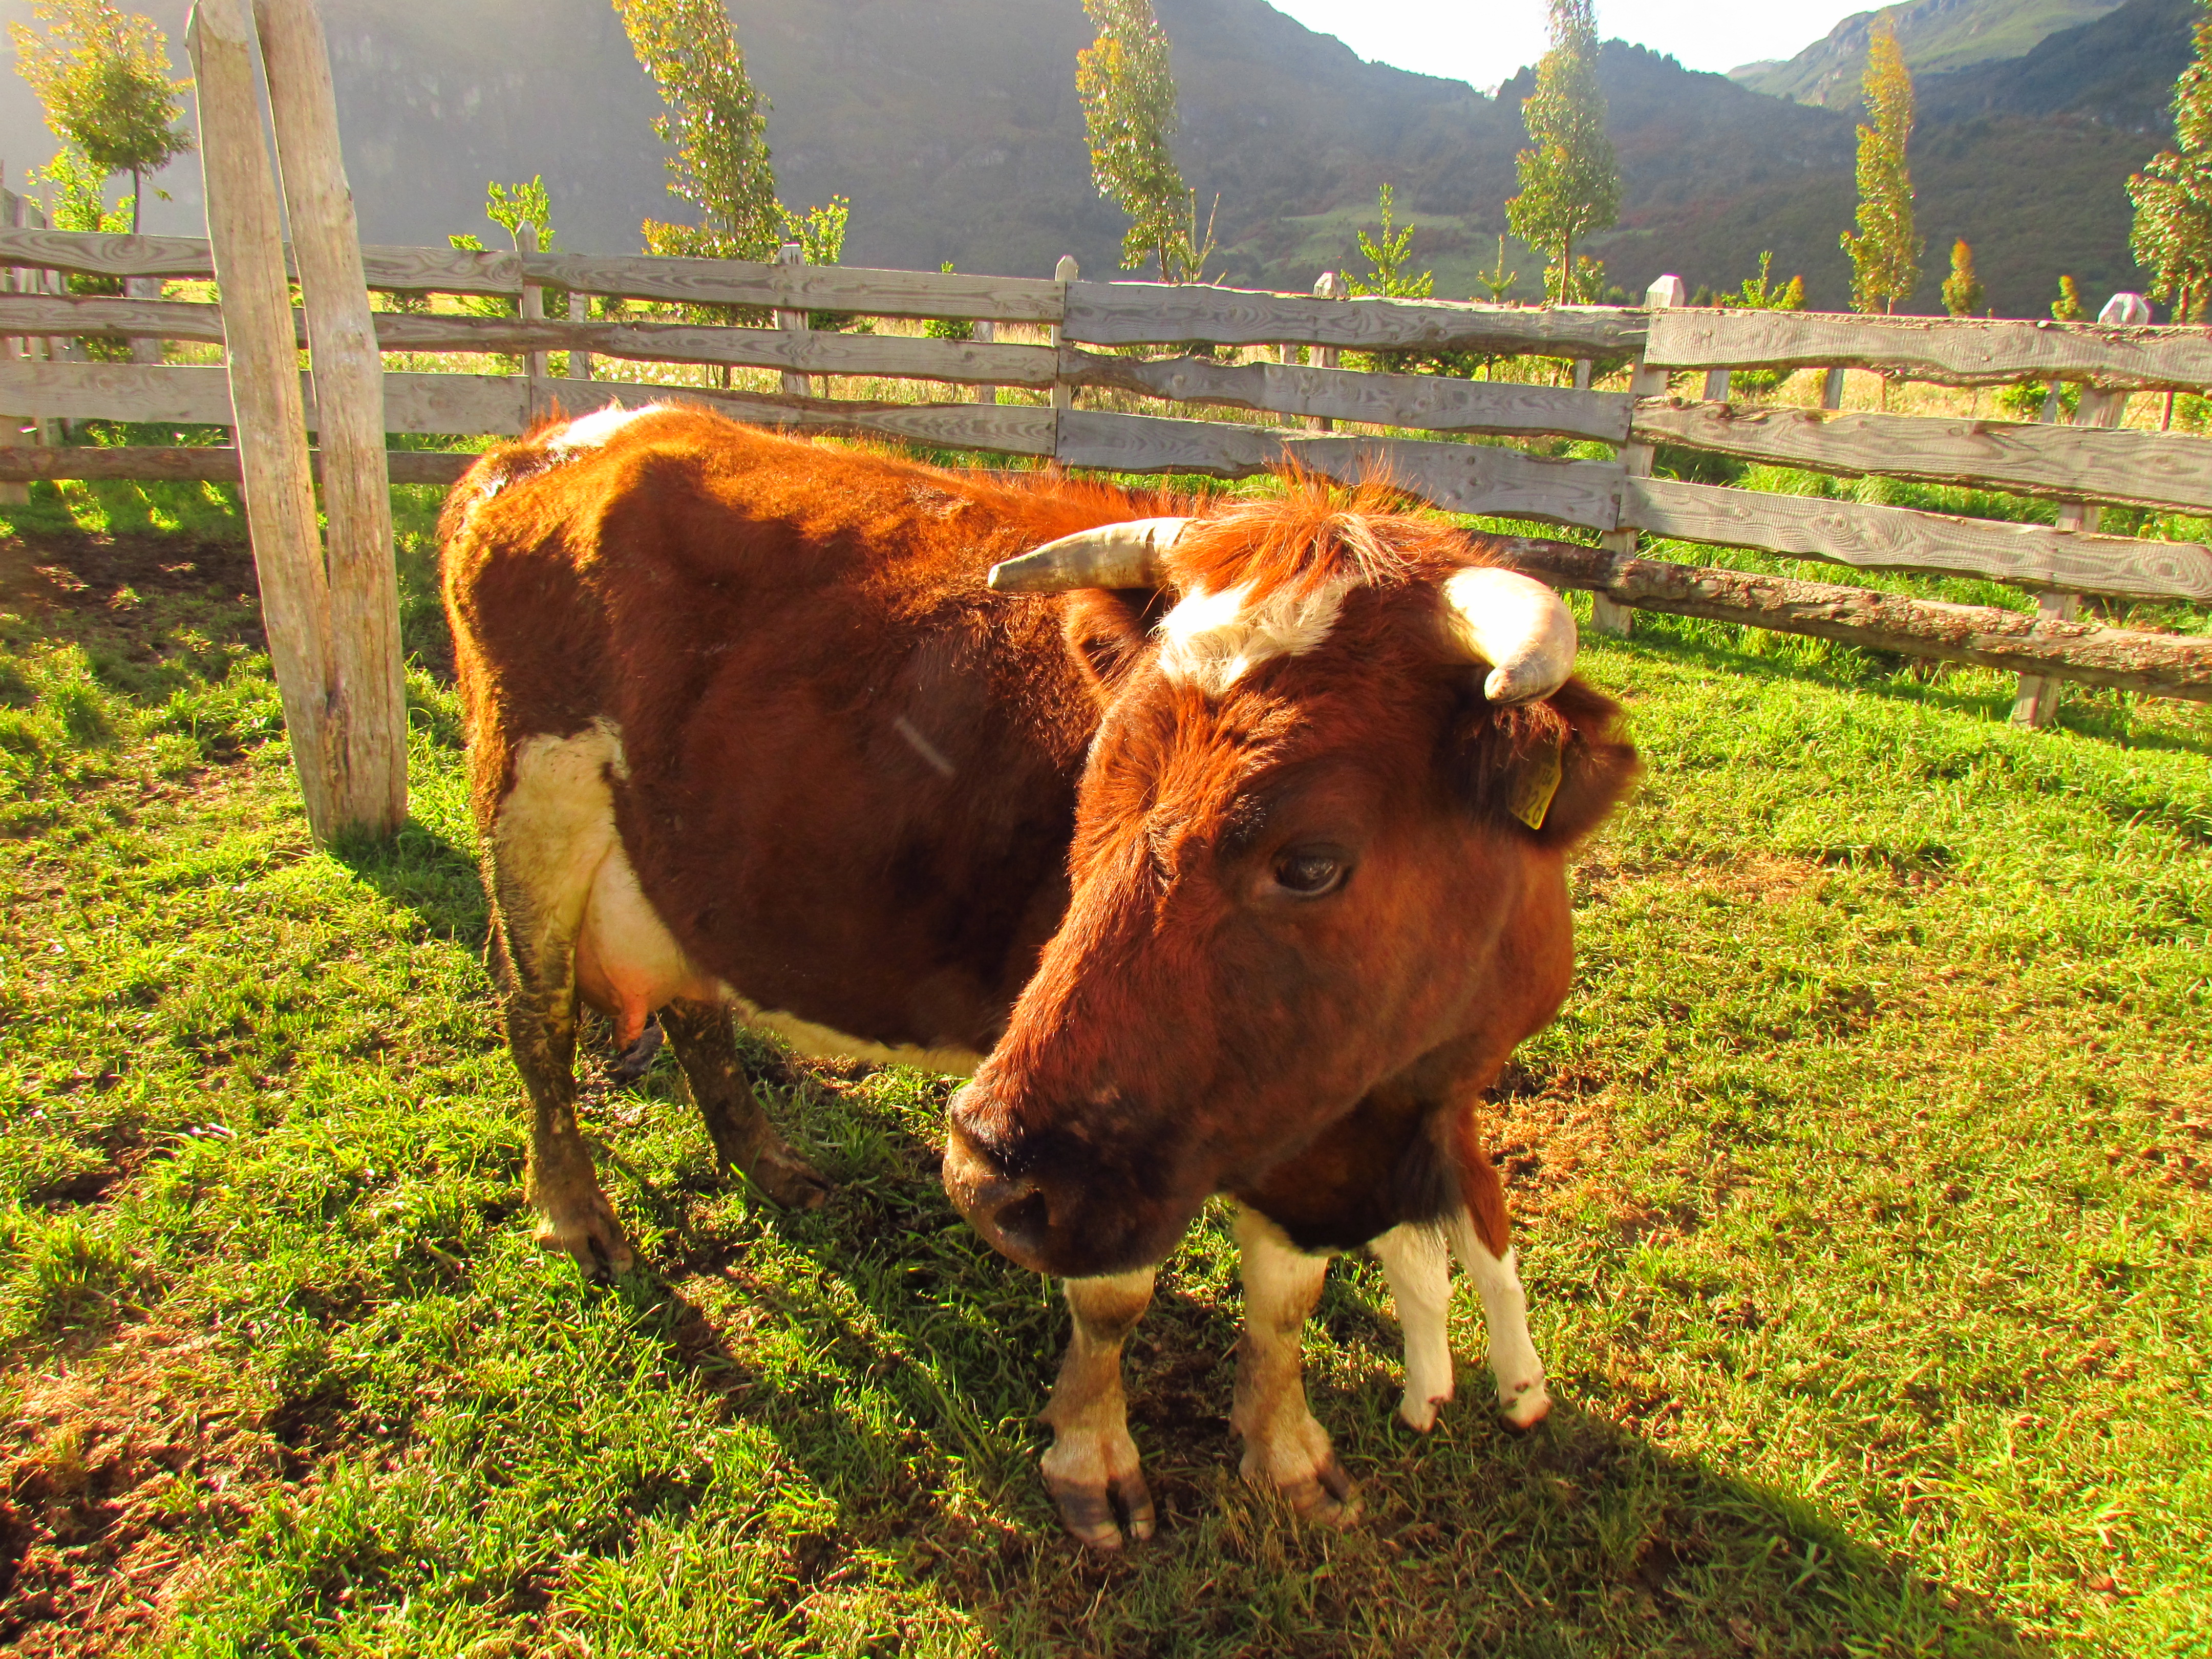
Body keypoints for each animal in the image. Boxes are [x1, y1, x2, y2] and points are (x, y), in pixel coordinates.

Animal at [440, 404, 1639, 1549]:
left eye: (1311, 861)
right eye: (1096, 783)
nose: (977, 1169)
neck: (1382, 1114)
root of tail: (554, 442)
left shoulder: (1279, 1120)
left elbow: (1284, 1303)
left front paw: (1289, 1455)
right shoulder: (1091, 1154)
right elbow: (1114, 1300)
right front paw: (1092, 1462)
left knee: (695, 1005)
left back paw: (767, 1161)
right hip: (530, 810)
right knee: (536, 1020)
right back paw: (579, 1215)